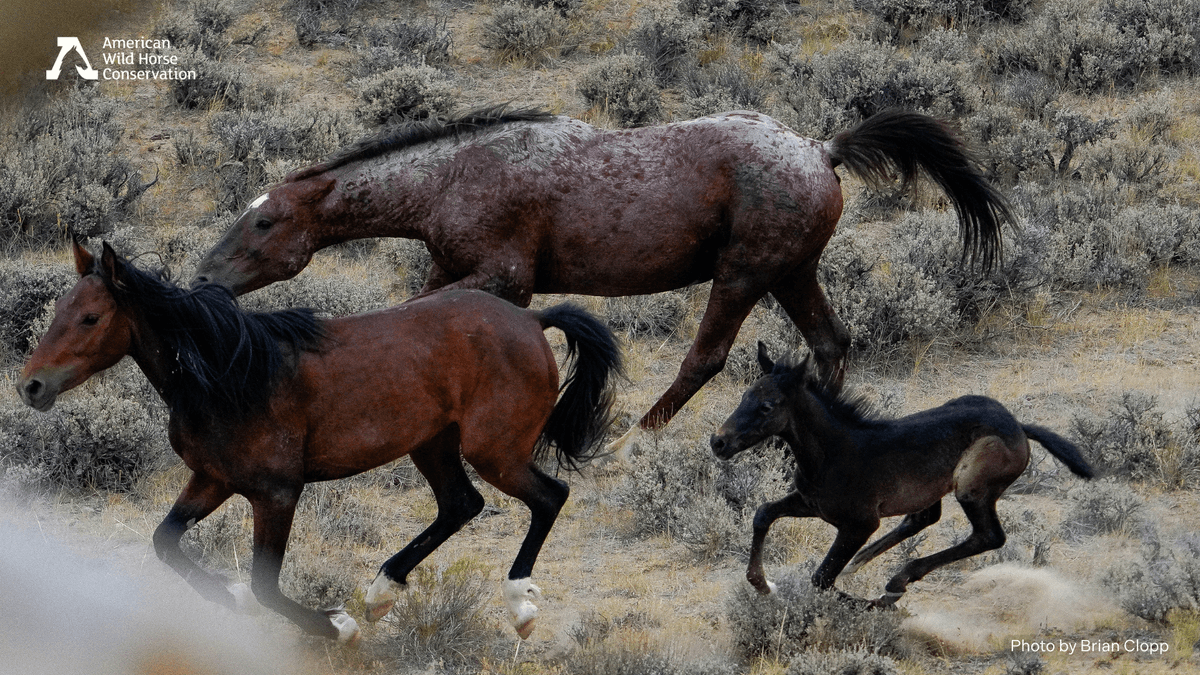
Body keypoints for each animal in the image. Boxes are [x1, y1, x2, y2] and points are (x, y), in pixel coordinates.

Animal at [17, 240, 622, 644]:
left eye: (90, 317)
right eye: (57, 311)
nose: (31, 386)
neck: (231, 375)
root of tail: (531, 317)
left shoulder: (276, 493)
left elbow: (265, 585)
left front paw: (337, 627)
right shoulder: (212, 479)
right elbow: (165, 541)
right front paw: (228, 597)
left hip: (492, 451)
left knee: (548, 497)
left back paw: (519, 606)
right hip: (433, 444)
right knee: (461, 504)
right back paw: (381, 592)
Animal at [191, 106, 1014, 450]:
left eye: (266, 223)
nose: (206, 277)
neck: (452, 176)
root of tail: (823, 149)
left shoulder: (506, 276)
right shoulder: (452, 265)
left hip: (744, 273)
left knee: (706, 356)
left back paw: (634, 437)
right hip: (791, 272)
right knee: (831, 342)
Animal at [710, 343, 1093, 607]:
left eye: (766, 406)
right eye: (744, 395)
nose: (719, 442)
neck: (832, 453)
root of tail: (1019, 427)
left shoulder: (859, 523)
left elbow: (821, 578)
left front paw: (879, 605)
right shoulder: (811, 504)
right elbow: (763, 514)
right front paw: (762, 584)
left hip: (971, 486)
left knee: (988, 536)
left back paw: (897, 582)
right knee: (924, 516)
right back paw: (865, 566)